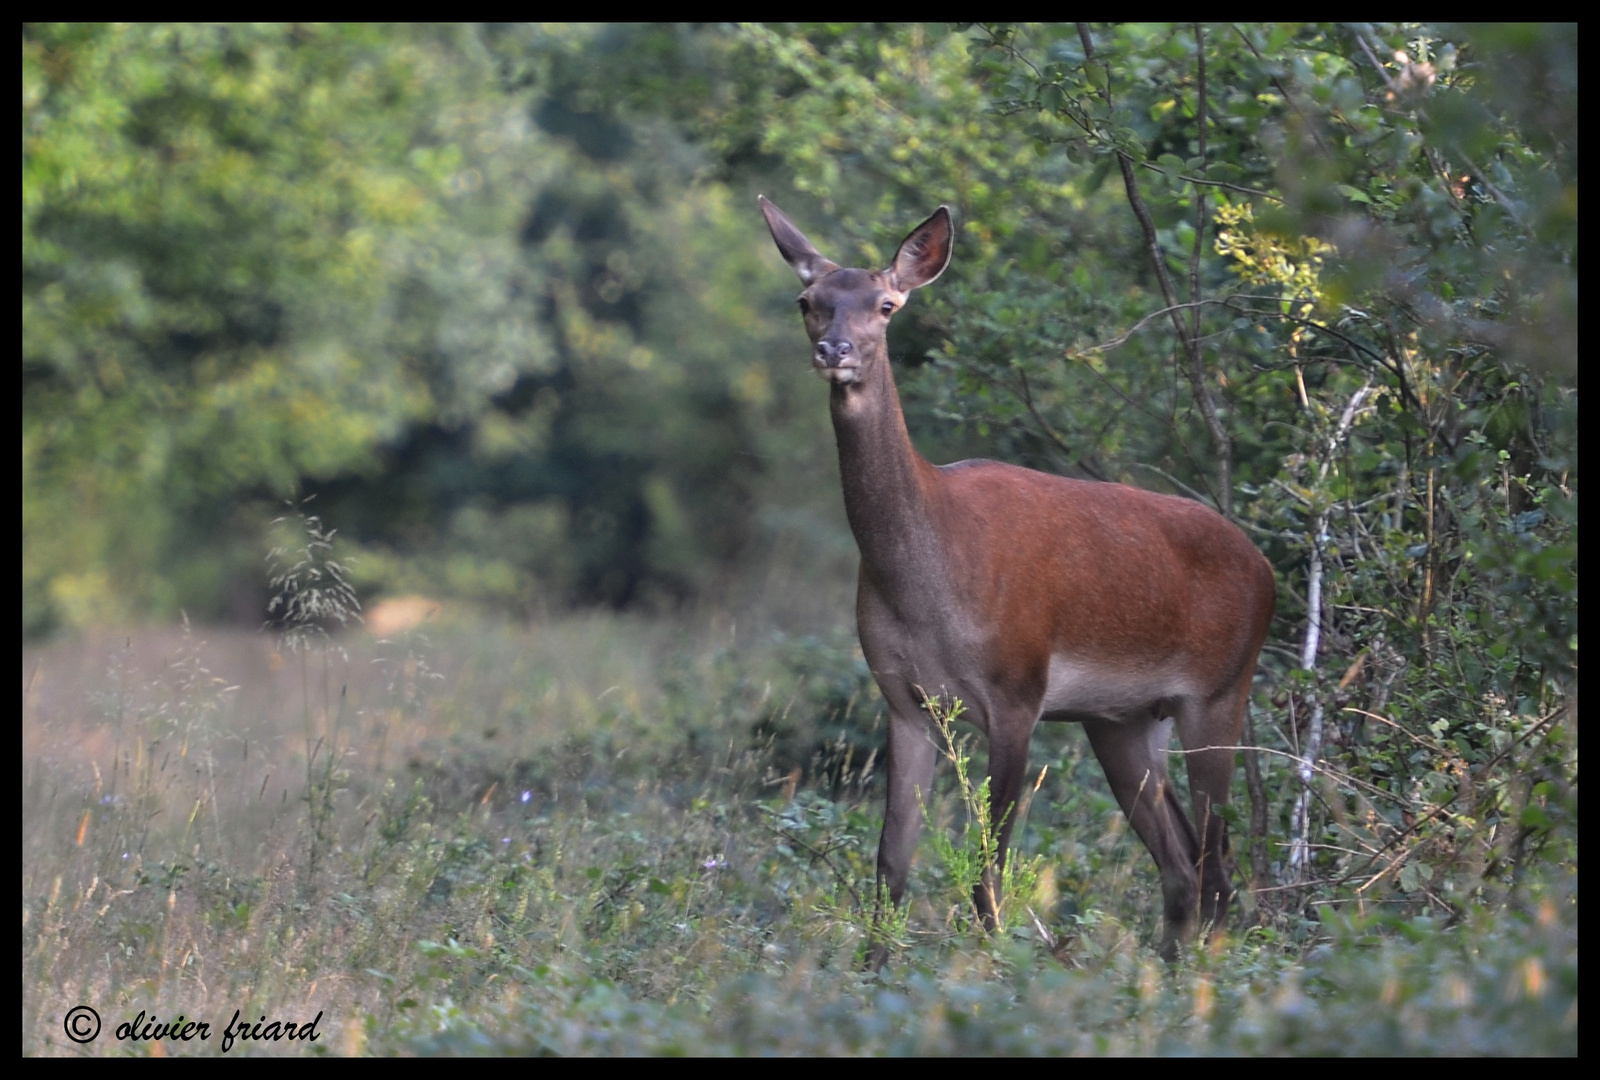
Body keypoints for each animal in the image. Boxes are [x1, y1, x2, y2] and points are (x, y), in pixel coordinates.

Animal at [758, 194, 1273, 966]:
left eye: (885, 305)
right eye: (808, 301)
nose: (835, 351)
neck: (927, 582)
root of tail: (1267, 569)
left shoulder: (1017, 689)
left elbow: (988, 869)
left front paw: (992, 965)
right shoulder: (904, 700)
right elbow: (891, 865)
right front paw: (874, 972)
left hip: (1219, 692)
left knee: (1217, 864)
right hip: (1122, 719)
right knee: (1182, 863)